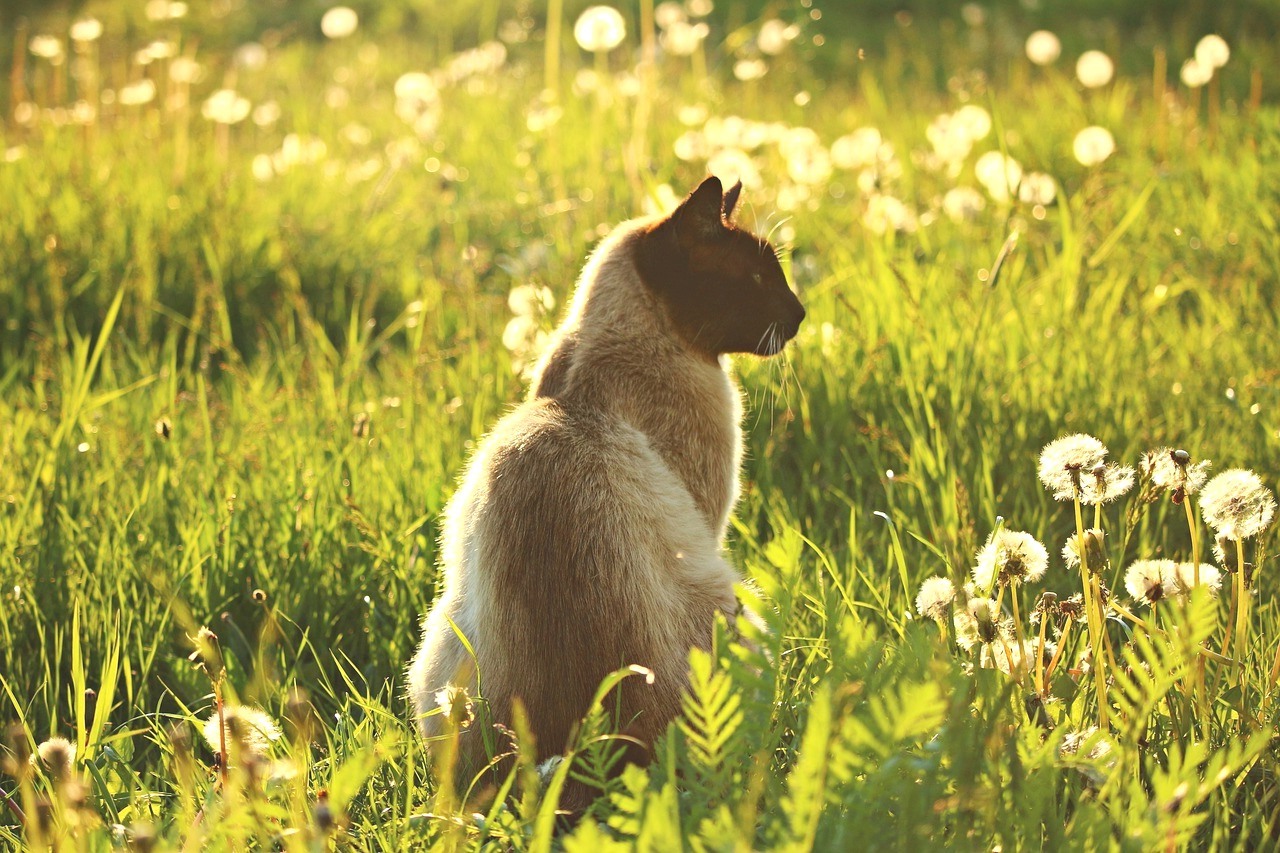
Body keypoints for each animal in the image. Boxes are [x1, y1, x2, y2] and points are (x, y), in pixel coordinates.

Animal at [409, 174, 803, 804]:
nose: (800, 314)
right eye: (759, 279)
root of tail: (589, 760)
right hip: (736, 602)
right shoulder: (710, 517)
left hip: (436, 662)